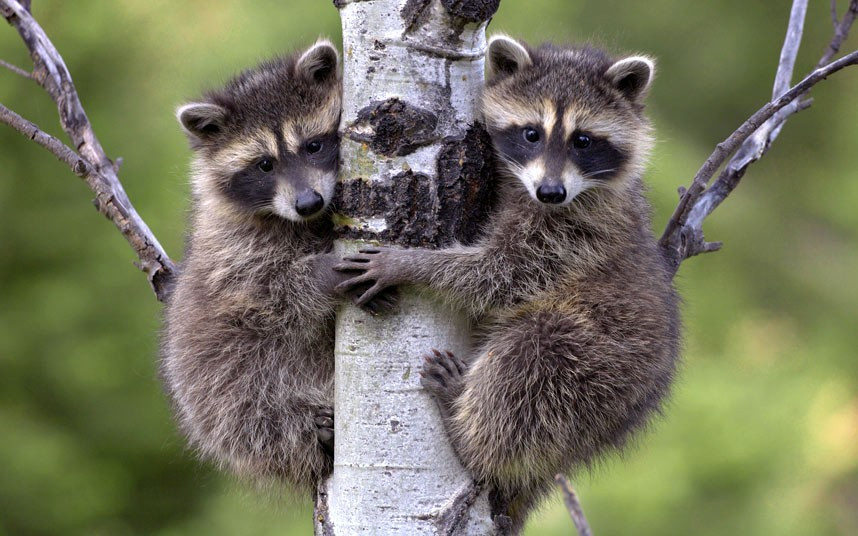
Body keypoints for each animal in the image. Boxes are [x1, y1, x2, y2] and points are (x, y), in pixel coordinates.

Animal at [160, 41, 373, 493]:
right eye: (264, 165)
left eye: (313, 146)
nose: (307, 202)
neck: (306, 222)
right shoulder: (233, 250)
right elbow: (268, 294)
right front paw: (321, 273)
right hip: (214, 384)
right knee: (250, 408)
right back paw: (308, 431)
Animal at [336, 36, 680, 530]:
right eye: (531, 133)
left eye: (583, 140)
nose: (551, 192)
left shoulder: (575, 235)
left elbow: (501, 275)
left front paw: (412, 263)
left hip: (598, 366)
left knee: (528, 363)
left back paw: (467, 433)